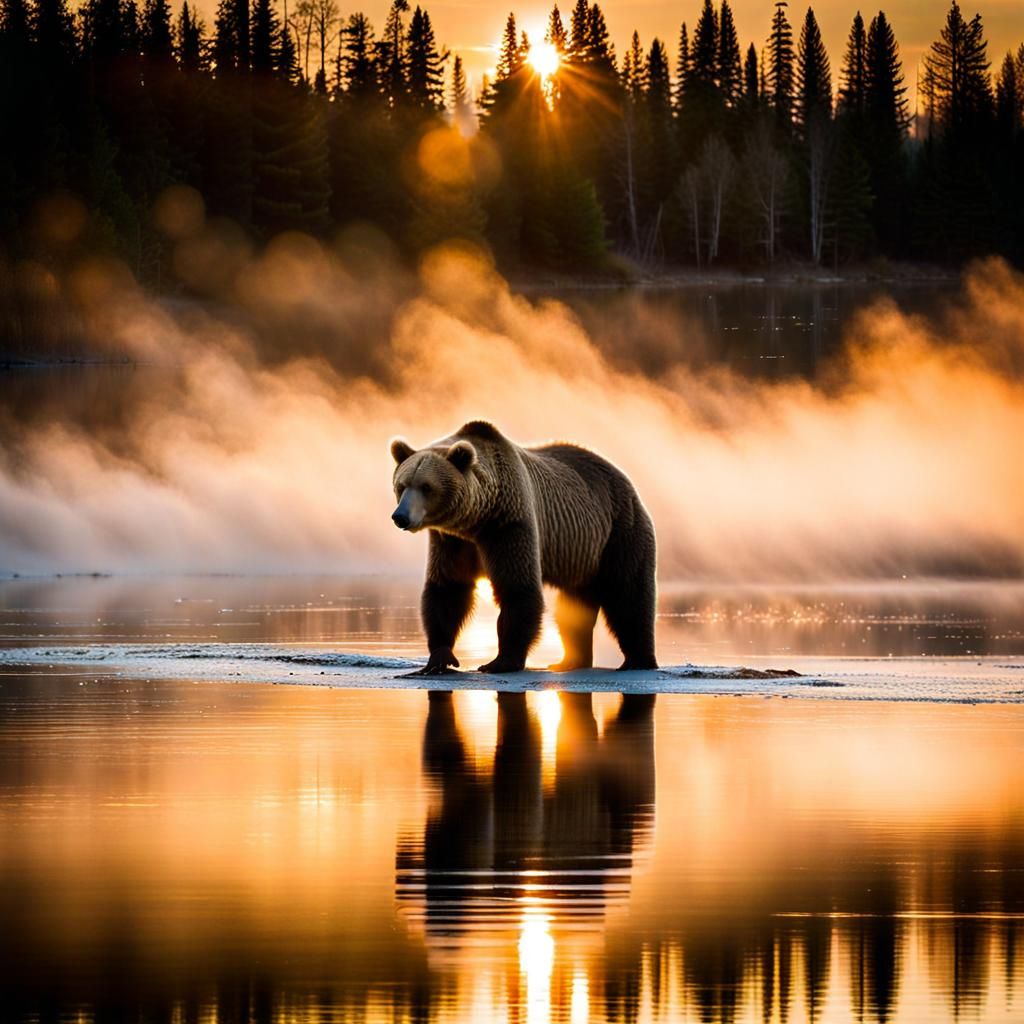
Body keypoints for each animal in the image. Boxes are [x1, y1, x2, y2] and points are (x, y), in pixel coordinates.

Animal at [389, 420, 657, 675]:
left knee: (628, 593)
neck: (475, 519)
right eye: (401, 485)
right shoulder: (452, 541)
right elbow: (448, 589)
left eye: (426, 487)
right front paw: (438, 659)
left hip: (620, 529)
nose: (400, 516)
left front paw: (500, 661)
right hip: (583, 553)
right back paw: (570, 660)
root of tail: (623, 477)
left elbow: (517, 587)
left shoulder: (509, 524)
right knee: (574, 608)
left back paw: (638, 660)